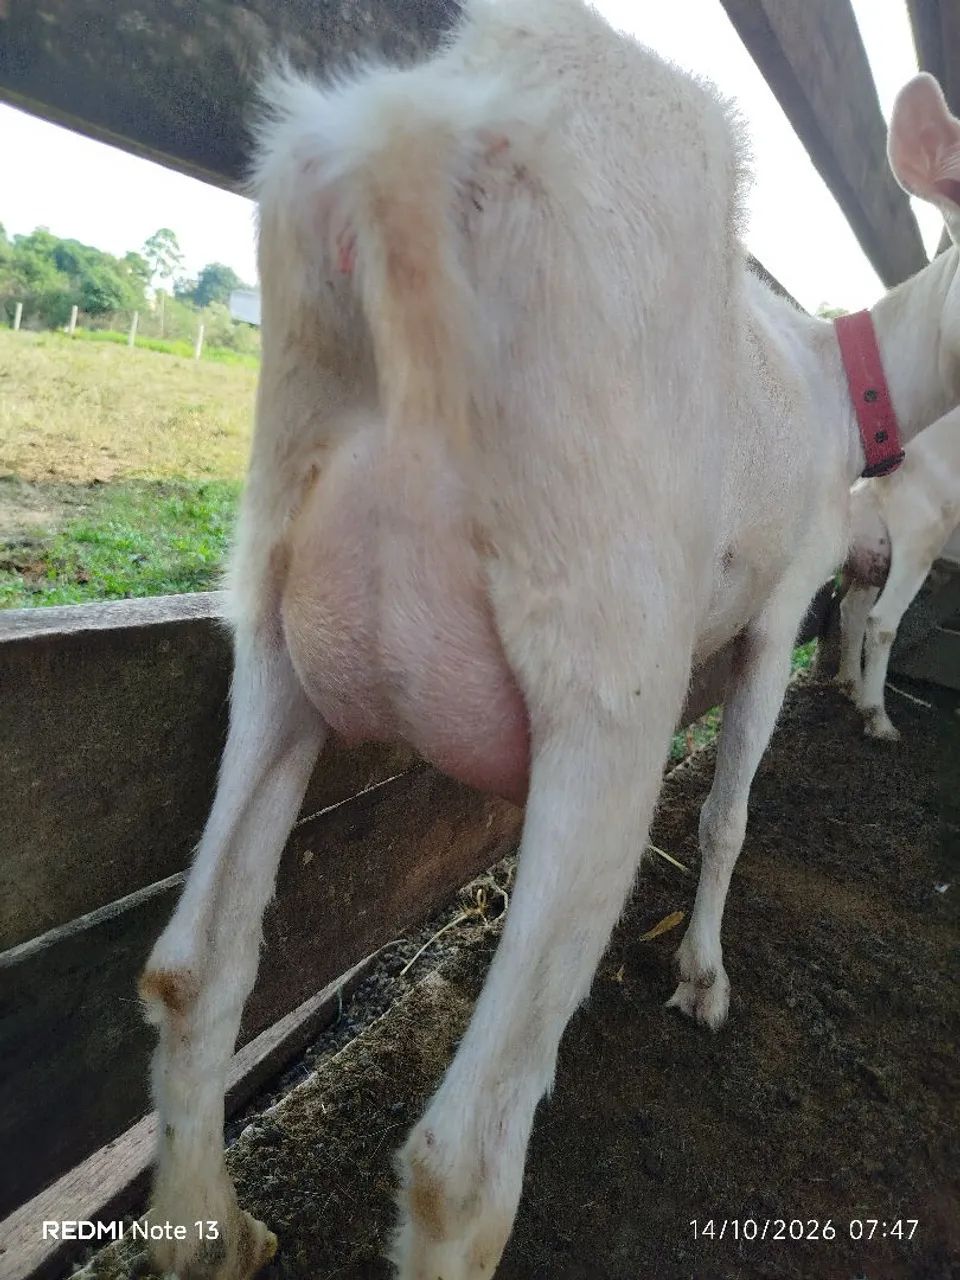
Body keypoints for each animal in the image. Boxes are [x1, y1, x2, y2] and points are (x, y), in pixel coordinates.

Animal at [839, 403, 960, 739]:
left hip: (873, 550)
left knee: (852, 609)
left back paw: (852, 685)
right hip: (918, 536)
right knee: (881, 622)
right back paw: (877, 717)